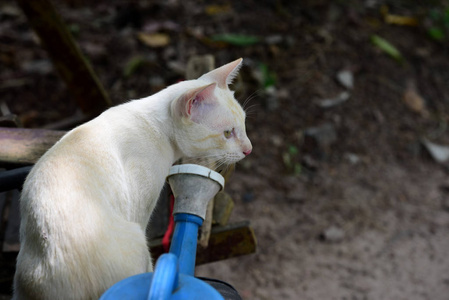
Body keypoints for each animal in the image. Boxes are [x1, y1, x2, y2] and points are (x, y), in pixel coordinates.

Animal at [13, 58, 252, 300]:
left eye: (244, 124)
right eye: (227, 133)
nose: (249, 150)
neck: (159, 128)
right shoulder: (141, 209)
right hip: (136, 241)